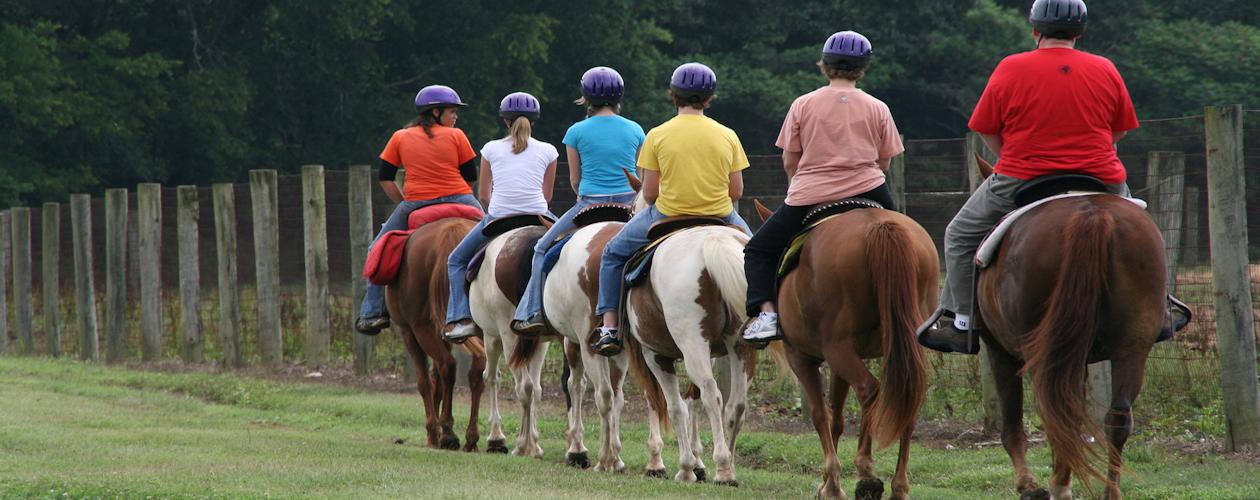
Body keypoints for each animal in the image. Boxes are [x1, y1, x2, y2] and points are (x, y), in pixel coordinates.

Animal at [390, 216, 488, 450]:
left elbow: (425, 381)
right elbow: (437, 382)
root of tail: (451, 230)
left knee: (447, 366)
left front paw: (432, 431)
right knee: (475, 370)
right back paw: (471, 438)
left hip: (420, 328)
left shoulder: (408, 332)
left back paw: (446, 433)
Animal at [756, 200, 937, 498]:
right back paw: (898, 486)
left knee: (869, 390)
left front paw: (831, 484)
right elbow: (837, 418)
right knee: (907, 400)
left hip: (837, 347)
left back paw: (866, 472)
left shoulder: (803, 359)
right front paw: (827, 482)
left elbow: (820, 415)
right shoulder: (840, 363)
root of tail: (879, 225)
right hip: (896, 348)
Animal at [967, 153, 1164, 496]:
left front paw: (1028, 485)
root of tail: (1091, 214)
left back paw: (1058, 485)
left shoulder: (1000, 352)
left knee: (1055, 414)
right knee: (1116, 417)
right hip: (1132, 346)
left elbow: (1012, 424)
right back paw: (1108, 491)